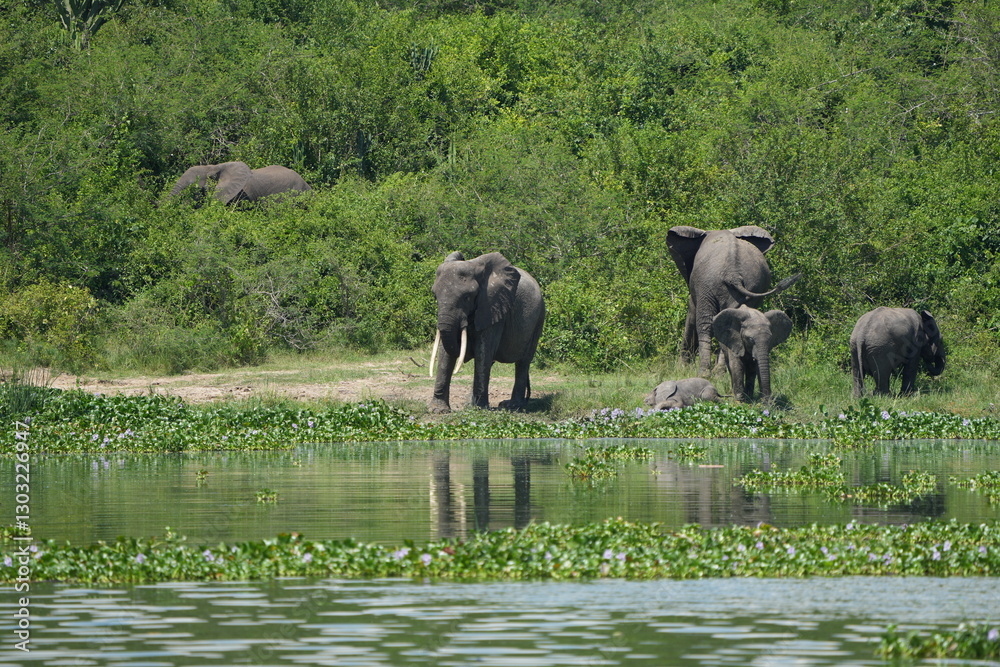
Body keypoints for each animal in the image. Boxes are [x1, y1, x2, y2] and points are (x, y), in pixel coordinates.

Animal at [428, 252, 545, 414]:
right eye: (435, 296)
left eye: (467, 297)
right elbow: (445, 354)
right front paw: (438, 410)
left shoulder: (493, 307)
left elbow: (482, 351)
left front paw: (480, 409)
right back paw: (471, 403)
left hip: (538, 319)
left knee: (523, 362)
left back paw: (512, 406)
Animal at [667, 225, 801, 377]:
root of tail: (733, 275)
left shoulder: (698, 287)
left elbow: (692, 313)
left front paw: (681, 368)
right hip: (751, 283)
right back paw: (719, 373)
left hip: (708, 282)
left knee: (705, 324)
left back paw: (705, 373)